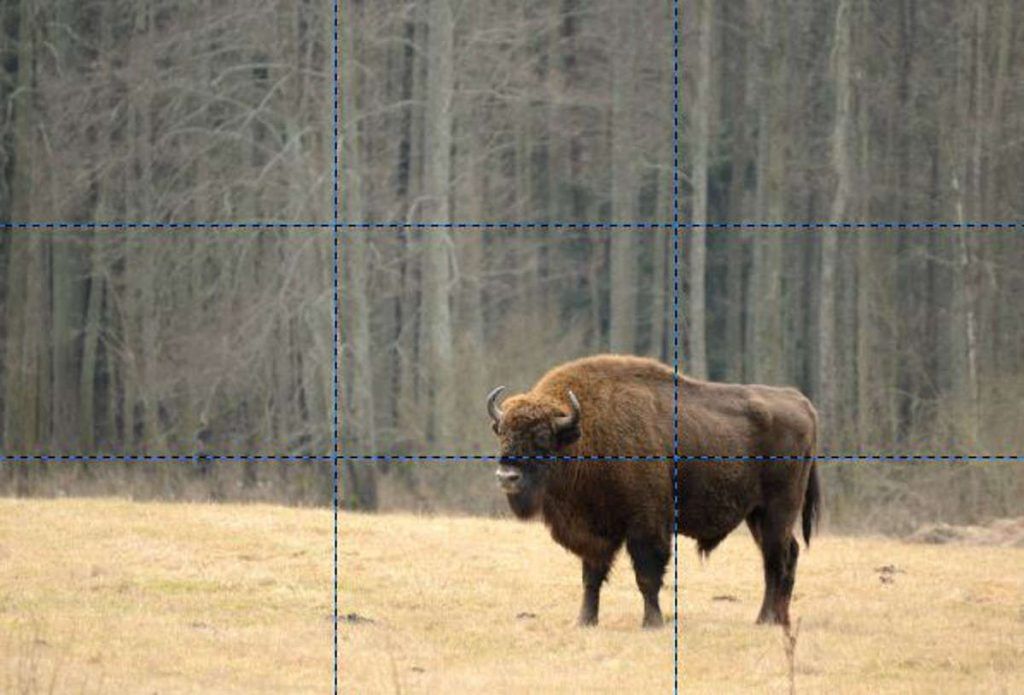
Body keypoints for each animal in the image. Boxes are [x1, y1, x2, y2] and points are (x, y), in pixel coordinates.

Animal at [487, 354, 819, 628]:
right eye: (502, 433)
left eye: (542, 438)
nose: (507, 476)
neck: (583, 436)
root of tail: (800, 401)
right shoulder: (594, 531)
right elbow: (591, 577)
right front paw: (584, 621)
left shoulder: (646, 525)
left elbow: (647, 575)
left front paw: (652, 622)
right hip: (757, 515)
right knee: (783, 556)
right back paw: (777, 619)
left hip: (778, 510)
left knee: (776, 560)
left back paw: (766, 619)